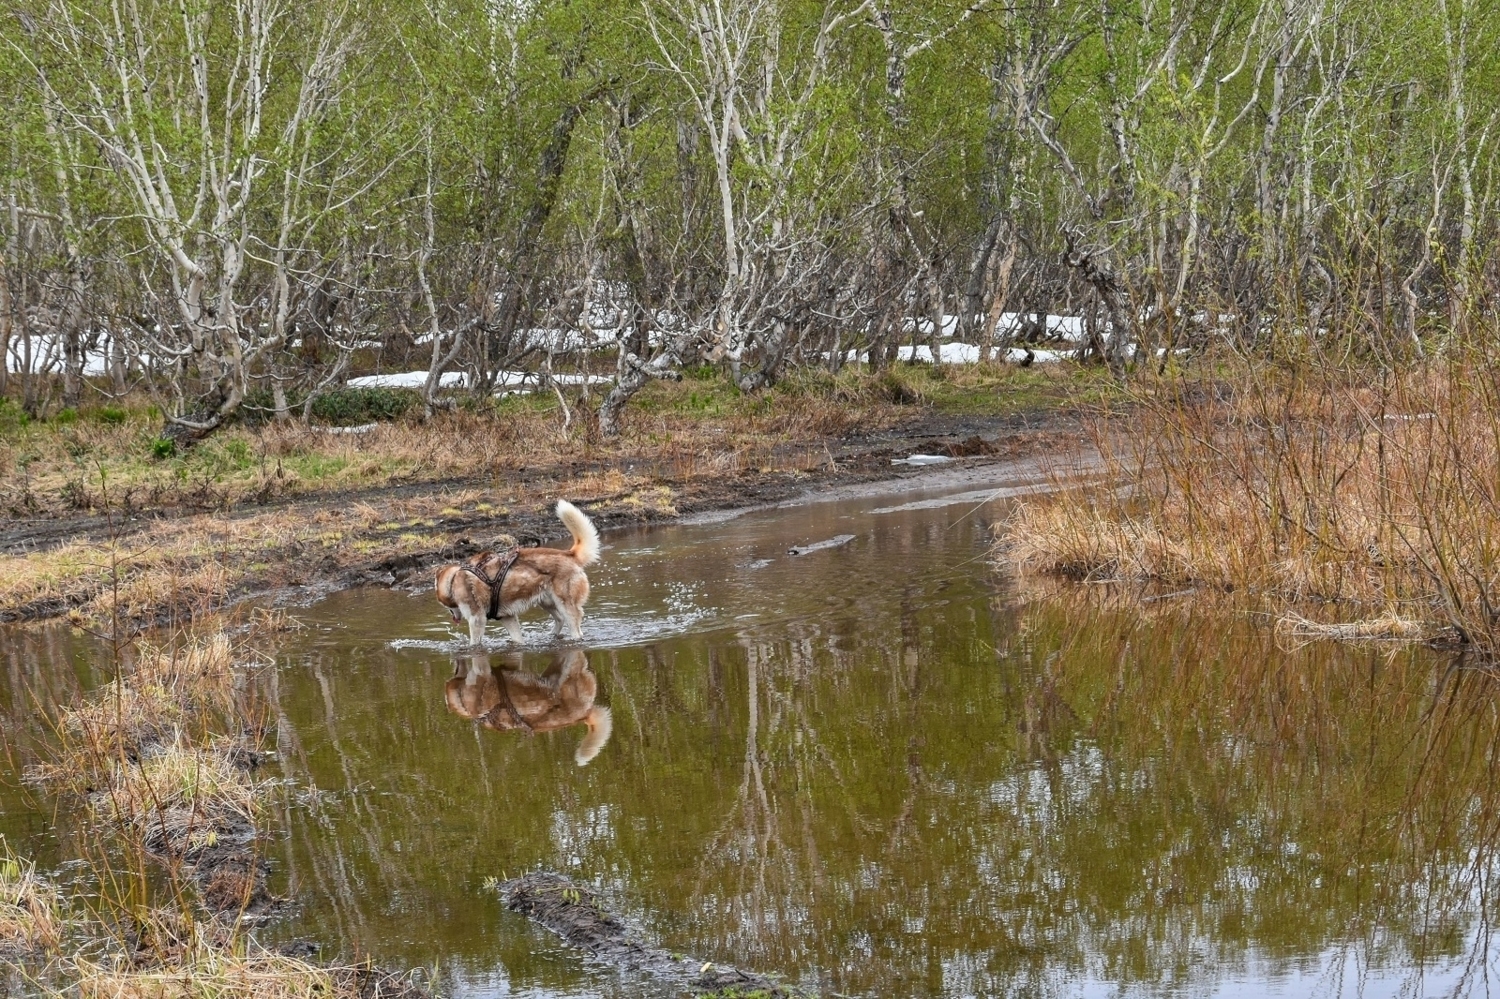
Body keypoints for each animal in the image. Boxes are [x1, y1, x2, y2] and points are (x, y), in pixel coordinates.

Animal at [435, 498, 597, 645]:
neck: (453, 579)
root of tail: (569, 554)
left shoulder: (477, 619)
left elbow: (474, 644)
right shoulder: (508, 617)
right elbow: (517, 639)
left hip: (565, 605)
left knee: (575, 628)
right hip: (546, 602)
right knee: (560, 619)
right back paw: (550, 637)